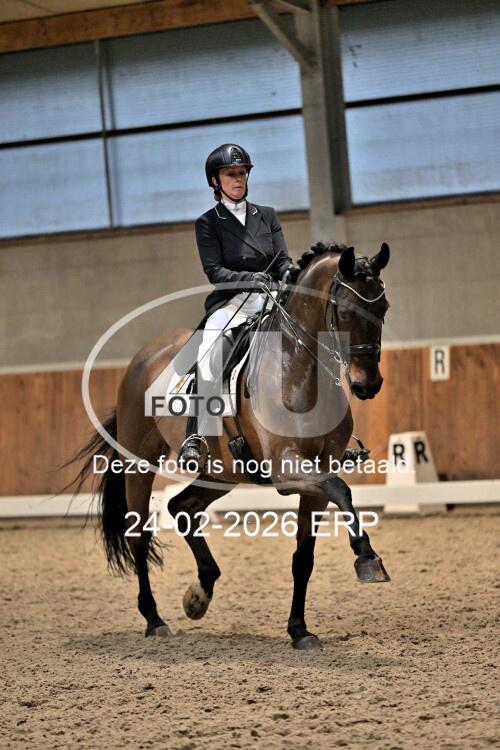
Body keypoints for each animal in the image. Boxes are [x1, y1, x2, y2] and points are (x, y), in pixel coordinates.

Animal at [70, 241, 391, 650]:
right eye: (347, 310)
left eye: (383, 308)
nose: (369, 385)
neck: (296, 366)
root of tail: (144, 356)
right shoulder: (288, 467)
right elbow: (342, 490)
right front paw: (368, 558)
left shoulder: (316, 476)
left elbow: (304, 557)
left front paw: (299, 630)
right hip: (139, 465)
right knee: (139, 536)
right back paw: (155, 620)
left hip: (222, 472)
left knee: (182, 507)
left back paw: (199, 593)